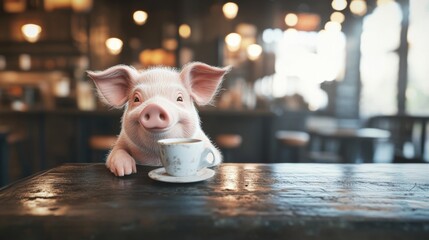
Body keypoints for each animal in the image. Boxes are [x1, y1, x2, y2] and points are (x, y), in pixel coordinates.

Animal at [86, 62, 231, 176]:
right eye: (136, 99)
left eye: (179, 98)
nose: (154, 107)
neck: (155, 159)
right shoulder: (120, 143)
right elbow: (116, 152)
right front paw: (125, 171)